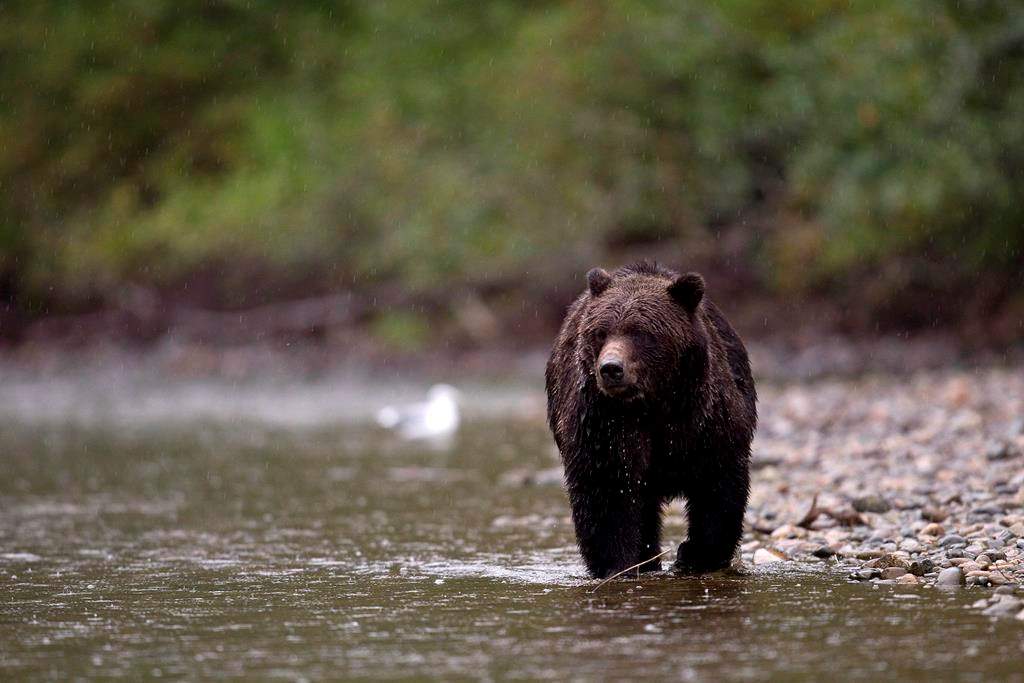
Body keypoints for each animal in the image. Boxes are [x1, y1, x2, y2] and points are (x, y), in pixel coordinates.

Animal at [545, 261, 756, 578]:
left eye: (641, 332)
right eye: (601, 332)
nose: (611, 368)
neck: (653, 403)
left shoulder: (708, 421)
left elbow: (718, 486)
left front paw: (696, 555)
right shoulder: (603, 423)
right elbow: (607, 491)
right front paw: (619, 564)